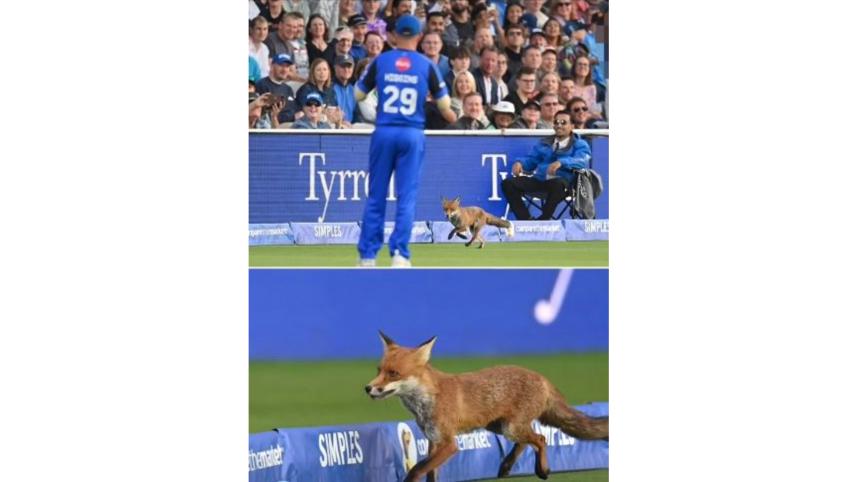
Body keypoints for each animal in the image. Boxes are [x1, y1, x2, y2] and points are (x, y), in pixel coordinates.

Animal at [364, 332, 608, 482]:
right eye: (379, 370)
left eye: (393, 373)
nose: (368, 388)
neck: (426, 400)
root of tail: (541, 377)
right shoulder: (433, 441)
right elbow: (430, 472)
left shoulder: (449, 444)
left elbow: (417, 469)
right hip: (499, 426)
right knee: (527, 441)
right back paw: (507, 466)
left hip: (510, 427)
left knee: (540, 439)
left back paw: (543, 469)